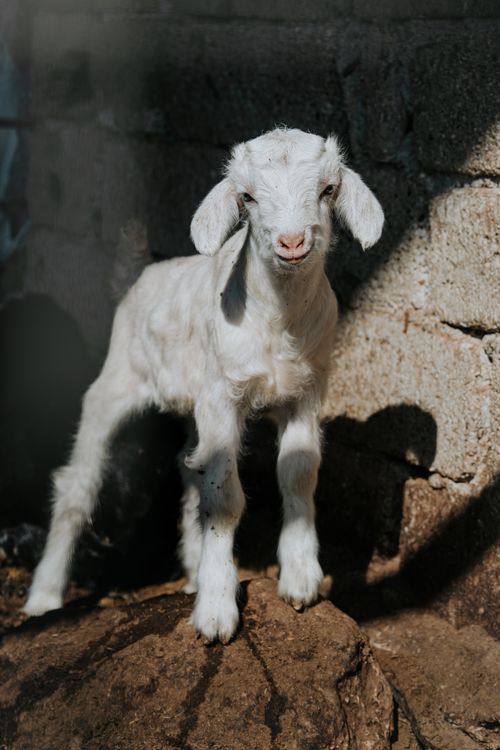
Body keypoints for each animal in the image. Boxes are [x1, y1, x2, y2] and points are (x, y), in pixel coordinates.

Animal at [24, 127, 384, 643]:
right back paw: (45, 597)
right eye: (247, 197)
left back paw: (192, 571)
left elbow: (297, 474)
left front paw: (300, 579)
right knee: (78, 486)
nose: (292, 243)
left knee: (188, 466)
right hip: (116, 383)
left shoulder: (306, 392)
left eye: (328, 190)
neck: (279, 320)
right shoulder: (222, 395)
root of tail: (139, 274)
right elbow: (225, 497)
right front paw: (216, 611)